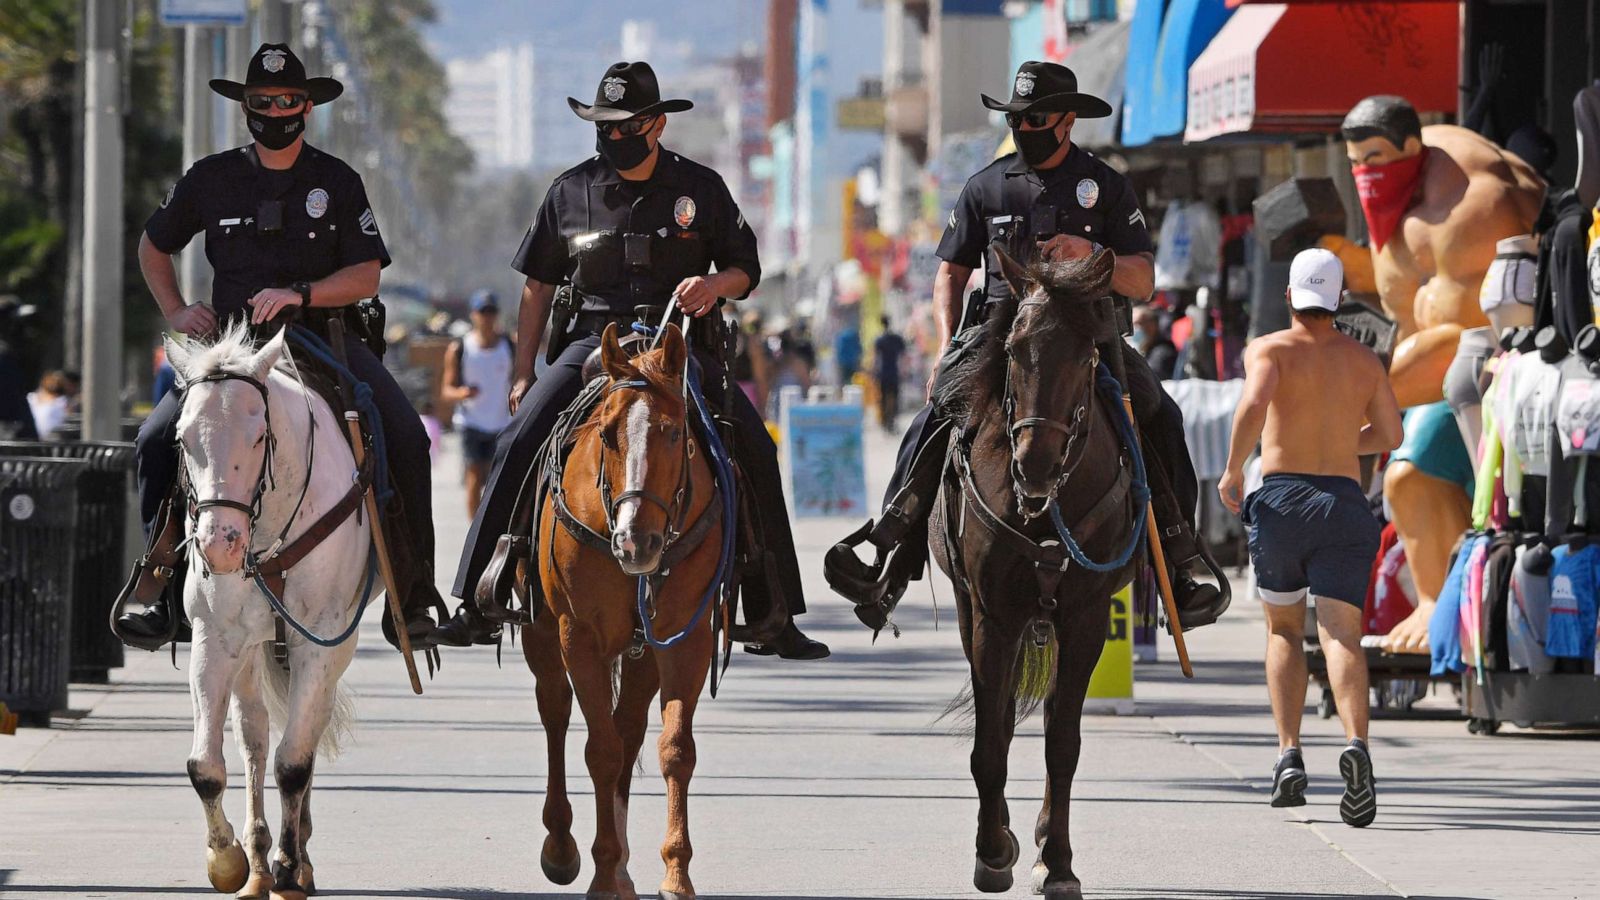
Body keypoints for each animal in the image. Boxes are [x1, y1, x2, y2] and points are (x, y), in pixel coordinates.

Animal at [166, 321, 371, 896]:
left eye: (259, 436)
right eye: (182, 439)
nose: (220, 545)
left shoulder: (320, 643)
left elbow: (295, 763)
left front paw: (288, 863)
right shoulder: (214, 640)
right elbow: (204, 765)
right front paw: (228, 860)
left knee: (304, 736)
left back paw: (292, 859)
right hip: (251, 653)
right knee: (254, 737)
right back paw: (257, 861)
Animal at [524, 321, 726, 896]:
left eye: (675, 433)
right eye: (608, 434)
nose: (637, 542)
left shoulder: (685, 638)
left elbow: (674, 749)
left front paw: (675, 872)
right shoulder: (578, 636)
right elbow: (601, 751)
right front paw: (600, 869)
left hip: (642, 655)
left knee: (629, 725)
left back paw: (622, 867)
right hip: (543, 636)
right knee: (556, 712)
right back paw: (564, 846)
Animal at [934, 246, 1145, 896]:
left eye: (1086, 353)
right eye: (1012, 349)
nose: (1035, 463)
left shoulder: (1085, 619)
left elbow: (1062, 743)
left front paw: (1058, 862)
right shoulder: (993, 617)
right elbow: (990, 740)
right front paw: (991, 852)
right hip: (970, 613)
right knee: (1000, 719)